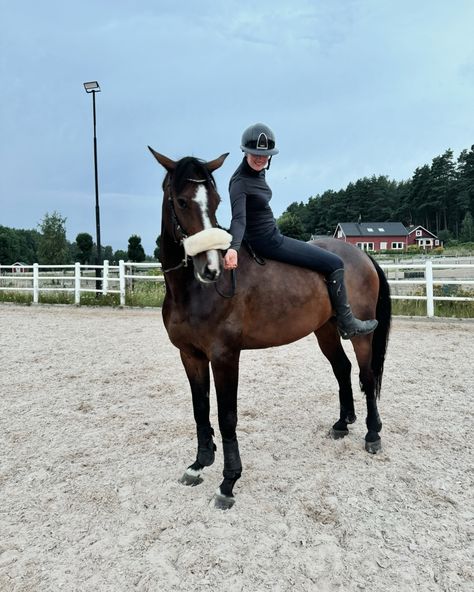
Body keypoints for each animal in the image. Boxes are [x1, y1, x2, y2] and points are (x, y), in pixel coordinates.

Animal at [150, 148, 390, 508]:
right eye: (180, 201)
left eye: (216, 201)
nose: (211, 268)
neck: (192, 290)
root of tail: (360, 256)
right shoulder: (190, 356)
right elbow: (200, 409)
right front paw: (199, 463)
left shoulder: (225, 356)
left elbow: (227, 416)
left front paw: (228, 482)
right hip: (325, 330)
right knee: (342, 369)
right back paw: (342, 423)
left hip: (362, 335)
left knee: (367, 375)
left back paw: (372, 433)